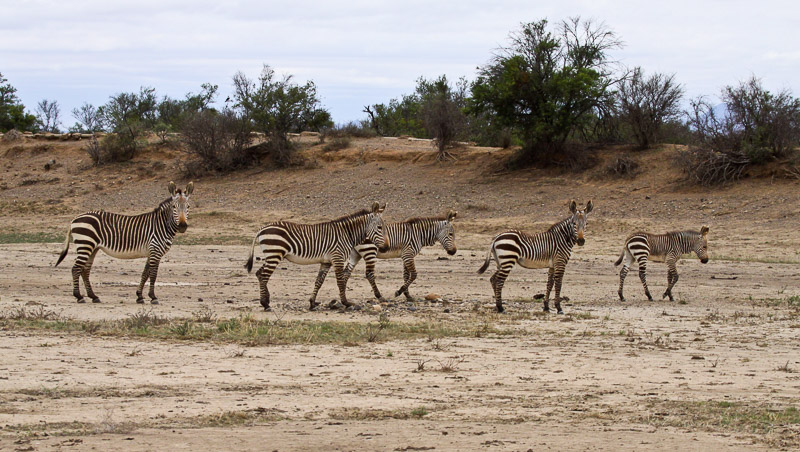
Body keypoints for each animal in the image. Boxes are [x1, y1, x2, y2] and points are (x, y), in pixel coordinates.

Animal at [55, 181, 194, 304]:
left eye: (188, 207)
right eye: (174, 207)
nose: (182, 226)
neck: (162, 225)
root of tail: (74, 219)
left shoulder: (151, 252)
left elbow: (145, 274)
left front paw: (139, 296)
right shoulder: (155, 251)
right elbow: (153, 274)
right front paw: (153, 297)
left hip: (92, 248)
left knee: (85, 270)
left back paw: (93, 296)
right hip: (85, 244)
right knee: (76, 269)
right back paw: (79, 296)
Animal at [244, 202, 388, 311]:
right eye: (380, 227)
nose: (386, 248)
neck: (346, 234)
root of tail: (261, 228)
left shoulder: (326, 261)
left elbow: (319, 281)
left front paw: (312, 302)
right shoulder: (337, 258)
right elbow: (340, 282)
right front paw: (346, 303)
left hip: (271, 255)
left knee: (259, 273)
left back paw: (266, 300)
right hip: (274, 254)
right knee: (264, 276)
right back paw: (265, 304)